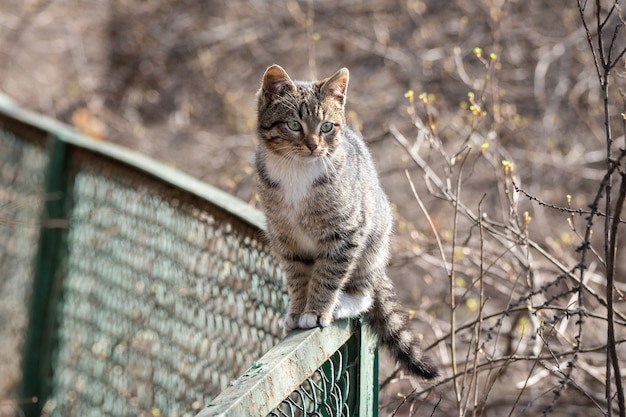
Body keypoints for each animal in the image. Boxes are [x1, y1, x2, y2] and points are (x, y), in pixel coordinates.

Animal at [254, 63, 438, 378]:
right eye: (294, 125)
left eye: (327, 127)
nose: (313, 146)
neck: (295, 170)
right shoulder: (285, 239)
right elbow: (297, 276)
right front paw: (297, 310)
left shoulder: (346, 232)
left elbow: (328, 274)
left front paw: (316, 311)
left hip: (373, 243)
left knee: (364, 292)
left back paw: (345, 302)